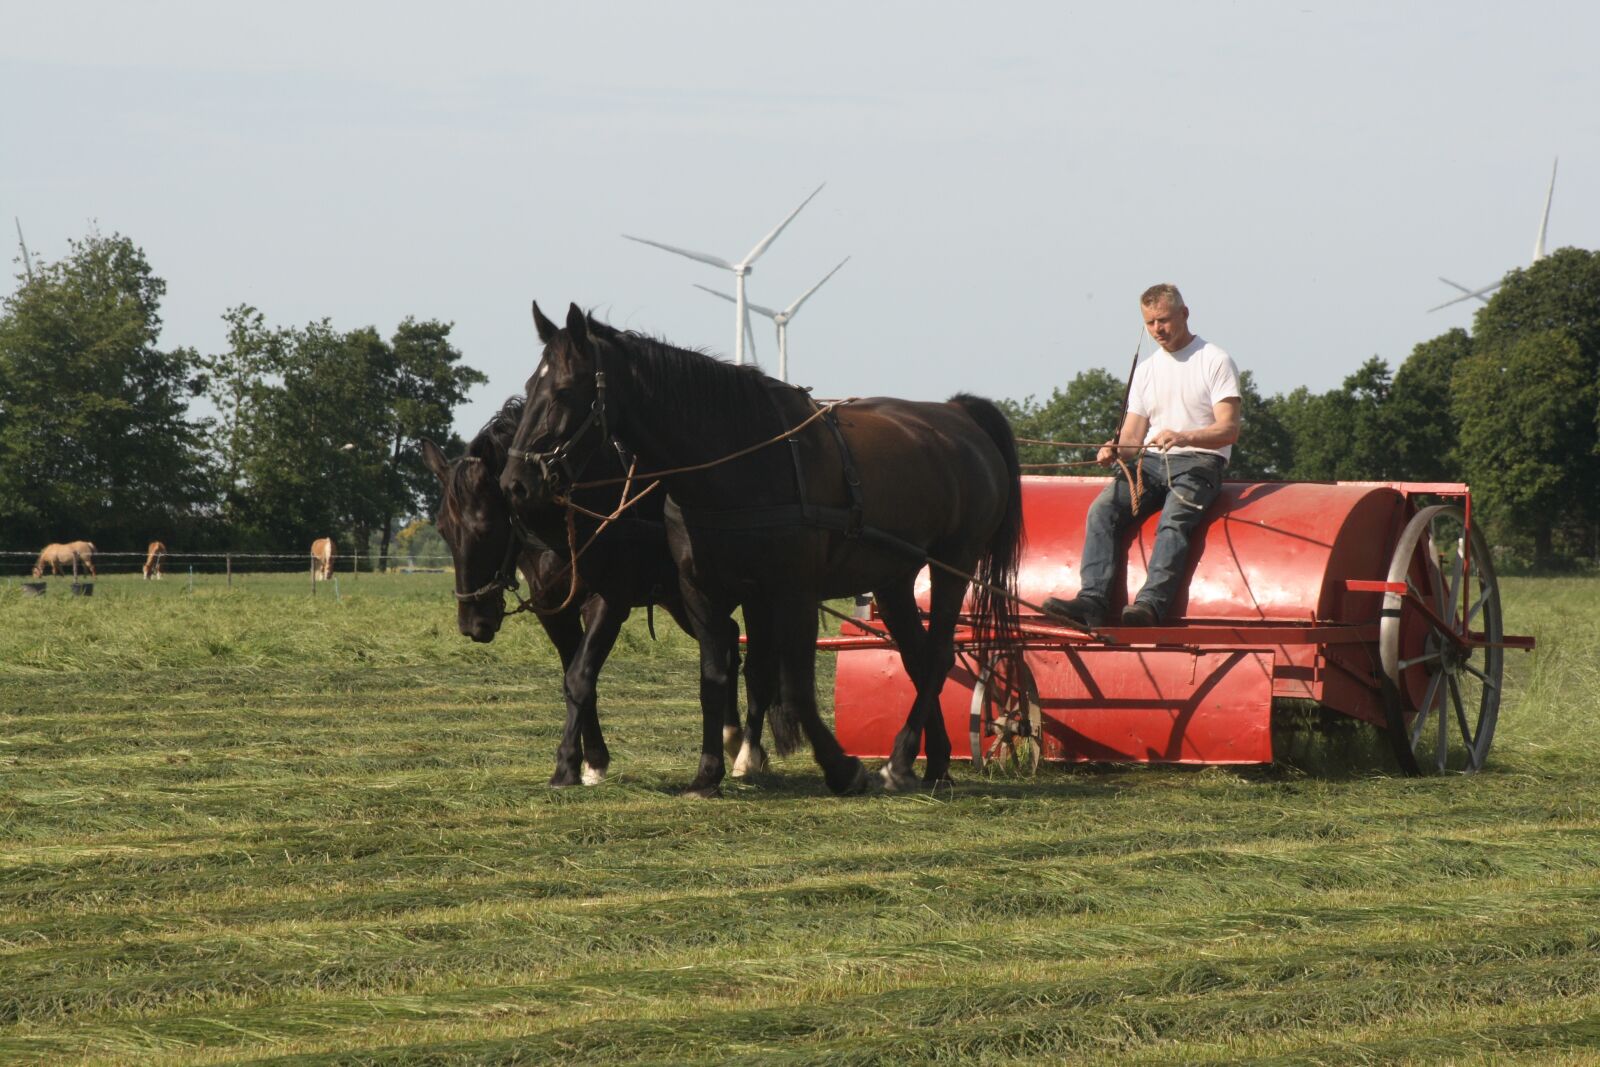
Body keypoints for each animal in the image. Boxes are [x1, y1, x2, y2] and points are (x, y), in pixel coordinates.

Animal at [421, 396, 764, 787]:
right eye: (444, 529)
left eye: (486, 527)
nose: (472, 622)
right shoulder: (553, 607)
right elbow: (574, 677)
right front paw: (594, 759)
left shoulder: (607, 603)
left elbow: (581, 677)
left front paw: (567, 765)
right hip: (683, 600)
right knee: (728, 640)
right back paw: (731, 736)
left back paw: (748, 752)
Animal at [501, 302, 1023, 797]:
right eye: (530, 386)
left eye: (564, 390)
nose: (515, 483)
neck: (739, 461)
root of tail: (959, 415)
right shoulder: (702, 591)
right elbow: (715, 678)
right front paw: (707, 775)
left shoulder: (793, 593)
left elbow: (794, 689)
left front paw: (841, 769)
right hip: (894, 579)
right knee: (916, 658)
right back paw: (931, 764)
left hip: (953, 565)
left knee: (936, 657)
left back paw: (899, 760)